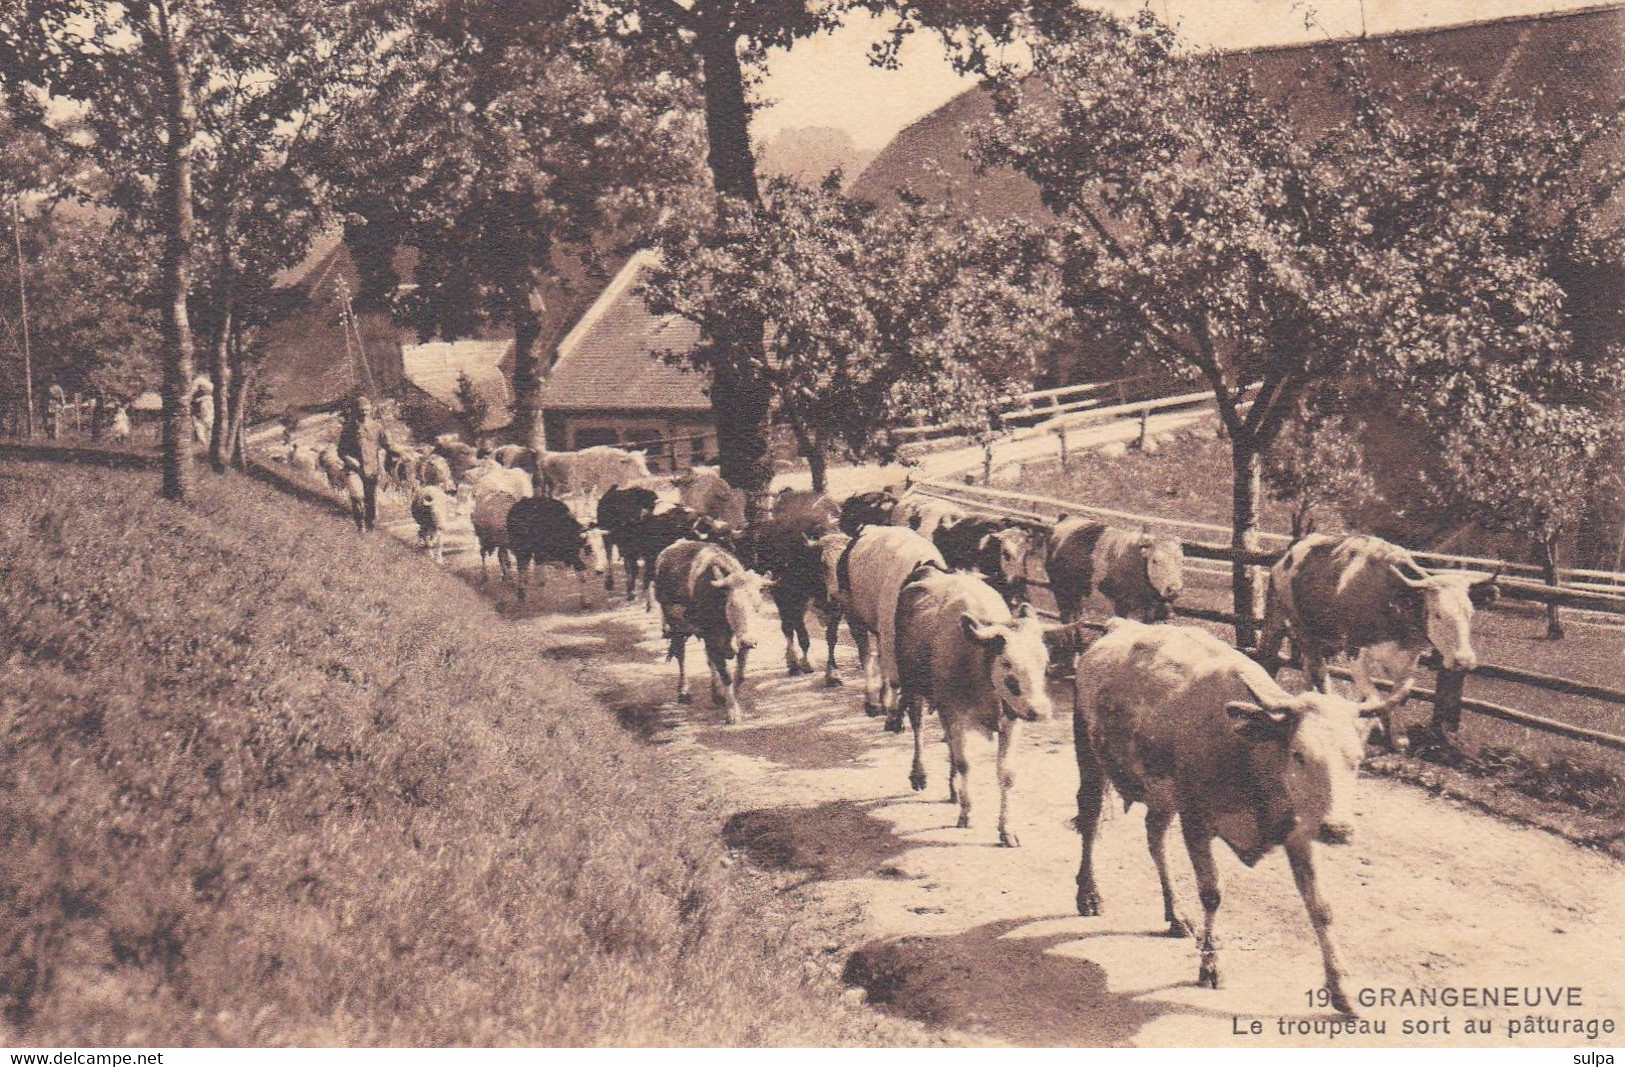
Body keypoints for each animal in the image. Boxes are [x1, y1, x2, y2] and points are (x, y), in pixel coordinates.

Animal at [897, 571, 1059, 844]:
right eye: (1006, 663)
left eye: (1044, 663)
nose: (1039, 711)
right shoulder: (954, 713)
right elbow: (965, 763)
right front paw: (967, 813)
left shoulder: (1011, 719)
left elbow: (1006, 773)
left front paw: (1007, 828)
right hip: (911, 686)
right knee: (918, 727)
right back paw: (919, 775)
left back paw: (953, 789)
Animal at [1066, 617, 1410, 1013]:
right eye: (1299, 754)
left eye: (1356, 760)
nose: (1338, 829)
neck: (1249, 754)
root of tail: (1119, 625)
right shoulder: (1196, 820)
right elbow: (1212, 893)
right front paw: (1211, 965)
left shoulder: (1298, 831)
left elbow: (1321, 907)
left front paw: (1341, 987)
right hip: (1088, 753)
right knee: (1091, 819)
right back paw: (1089, 894)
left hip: (1161, 793)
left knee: (1154, 837)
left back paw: (1176, 914)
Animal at [1254, 532, 1495, 750]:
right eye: (1437, 614)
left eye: (1471, 613)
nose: (1464, 660)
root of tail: (1291, 549)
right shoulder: (1354, 652)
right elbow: (1373, 694)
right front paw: (1374, 723)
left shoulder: (1408, 657)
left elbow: (1400, 693)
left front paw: (1399, 736)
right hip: (1289, 622)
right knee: (1300, 666)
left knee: (1312, 669)